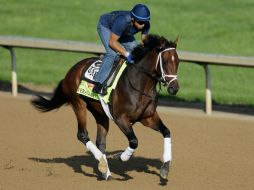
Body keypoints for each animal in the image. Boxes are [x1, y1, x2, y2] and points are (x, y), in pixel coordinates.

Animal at [31, 33, 179, 180]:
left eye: (177, 62)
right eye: (165, 62)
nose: (174, 88)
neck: (138, 85)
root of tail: (72, 70)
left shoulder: (148, 117)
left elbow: (166, 131)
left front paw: (165, 168)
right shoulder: (121, 119)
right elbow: (134, 141)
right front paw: (121, 156)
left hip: (100, 113)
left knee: (100, 142)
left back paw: (105, 171)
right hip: (78, 104)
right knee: (82, 134)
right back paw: (103, 165)